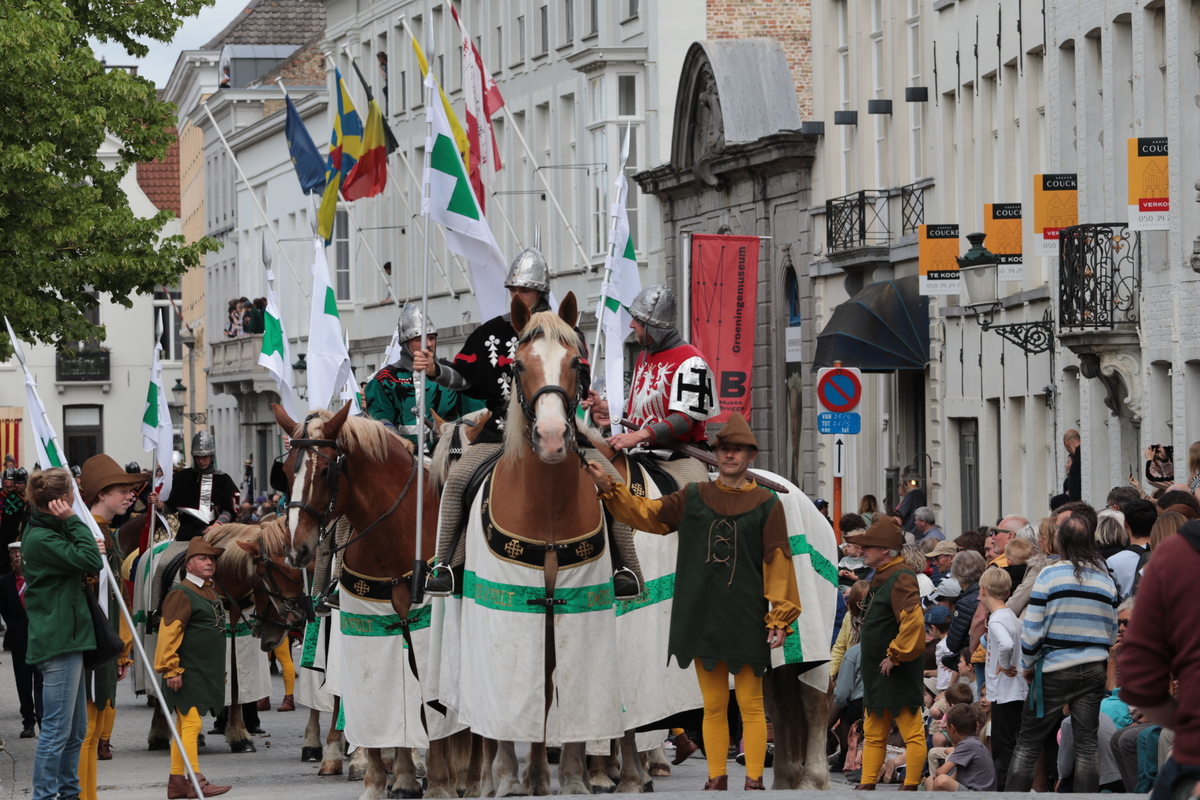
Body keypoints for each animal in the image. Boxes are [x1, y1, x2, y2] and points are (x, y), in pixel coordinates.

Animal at [272, 402, 483, 800]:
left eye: (327, 471)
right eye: (287, 468)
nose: (296, 549)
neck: (396, 535)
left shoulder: (427, 626)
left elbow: (429, 710)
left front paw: (437, 781)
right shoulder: (370, 623)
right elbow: (375, 701)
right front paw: (385, 778)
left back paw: (468, 775)